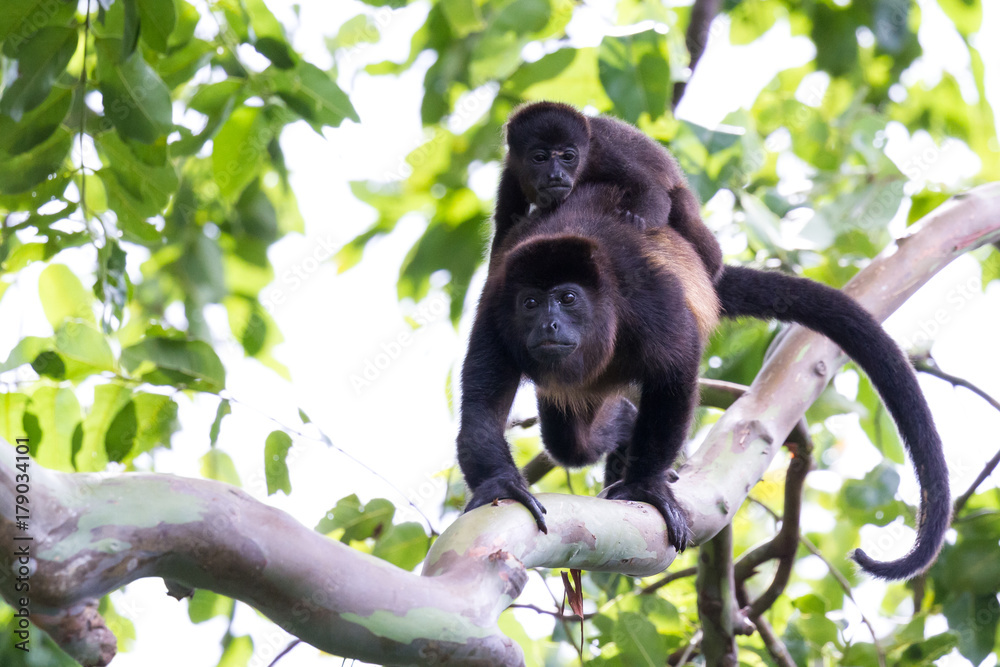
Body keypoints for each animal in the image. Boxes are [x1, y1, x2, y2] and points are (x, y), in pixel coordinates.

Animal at [457, 182, 949, 581]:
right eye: (530, 303)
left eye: (567, 298)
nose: (549, 324)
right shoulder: (495, 313)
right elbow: (481, 404)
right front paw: (501, 485)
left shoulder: (646, 296)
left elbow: (675, 370)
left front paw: (644, 486)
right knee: (571, 443)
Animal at [493, 101, 724, 281]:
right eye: (539, 158)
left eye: (568, 156)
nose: (556, 175)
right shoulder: (511, 172)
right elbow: (504, 226)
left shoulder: (603, 153)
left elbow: (651, 190)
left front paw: (634, 221)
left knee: (683, 207)